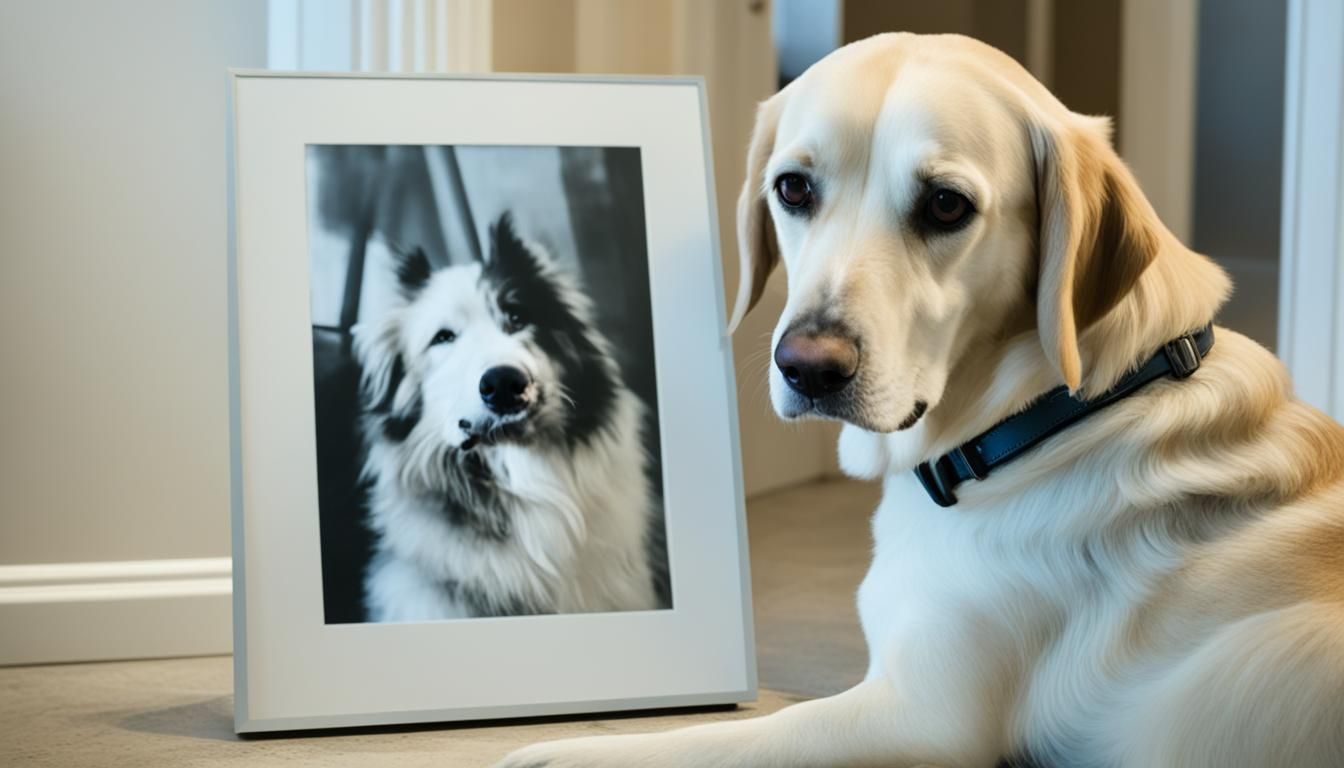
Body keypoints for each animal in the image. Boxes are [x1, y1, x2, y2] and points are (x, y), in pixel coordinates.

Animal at [502, 31, 1344, 768]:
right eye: (793, 188)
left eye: (945, 206)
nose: (808, 367)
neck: (1044, 418)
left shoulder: (923, 716)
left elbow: (731, 738)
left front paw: (560, 753)